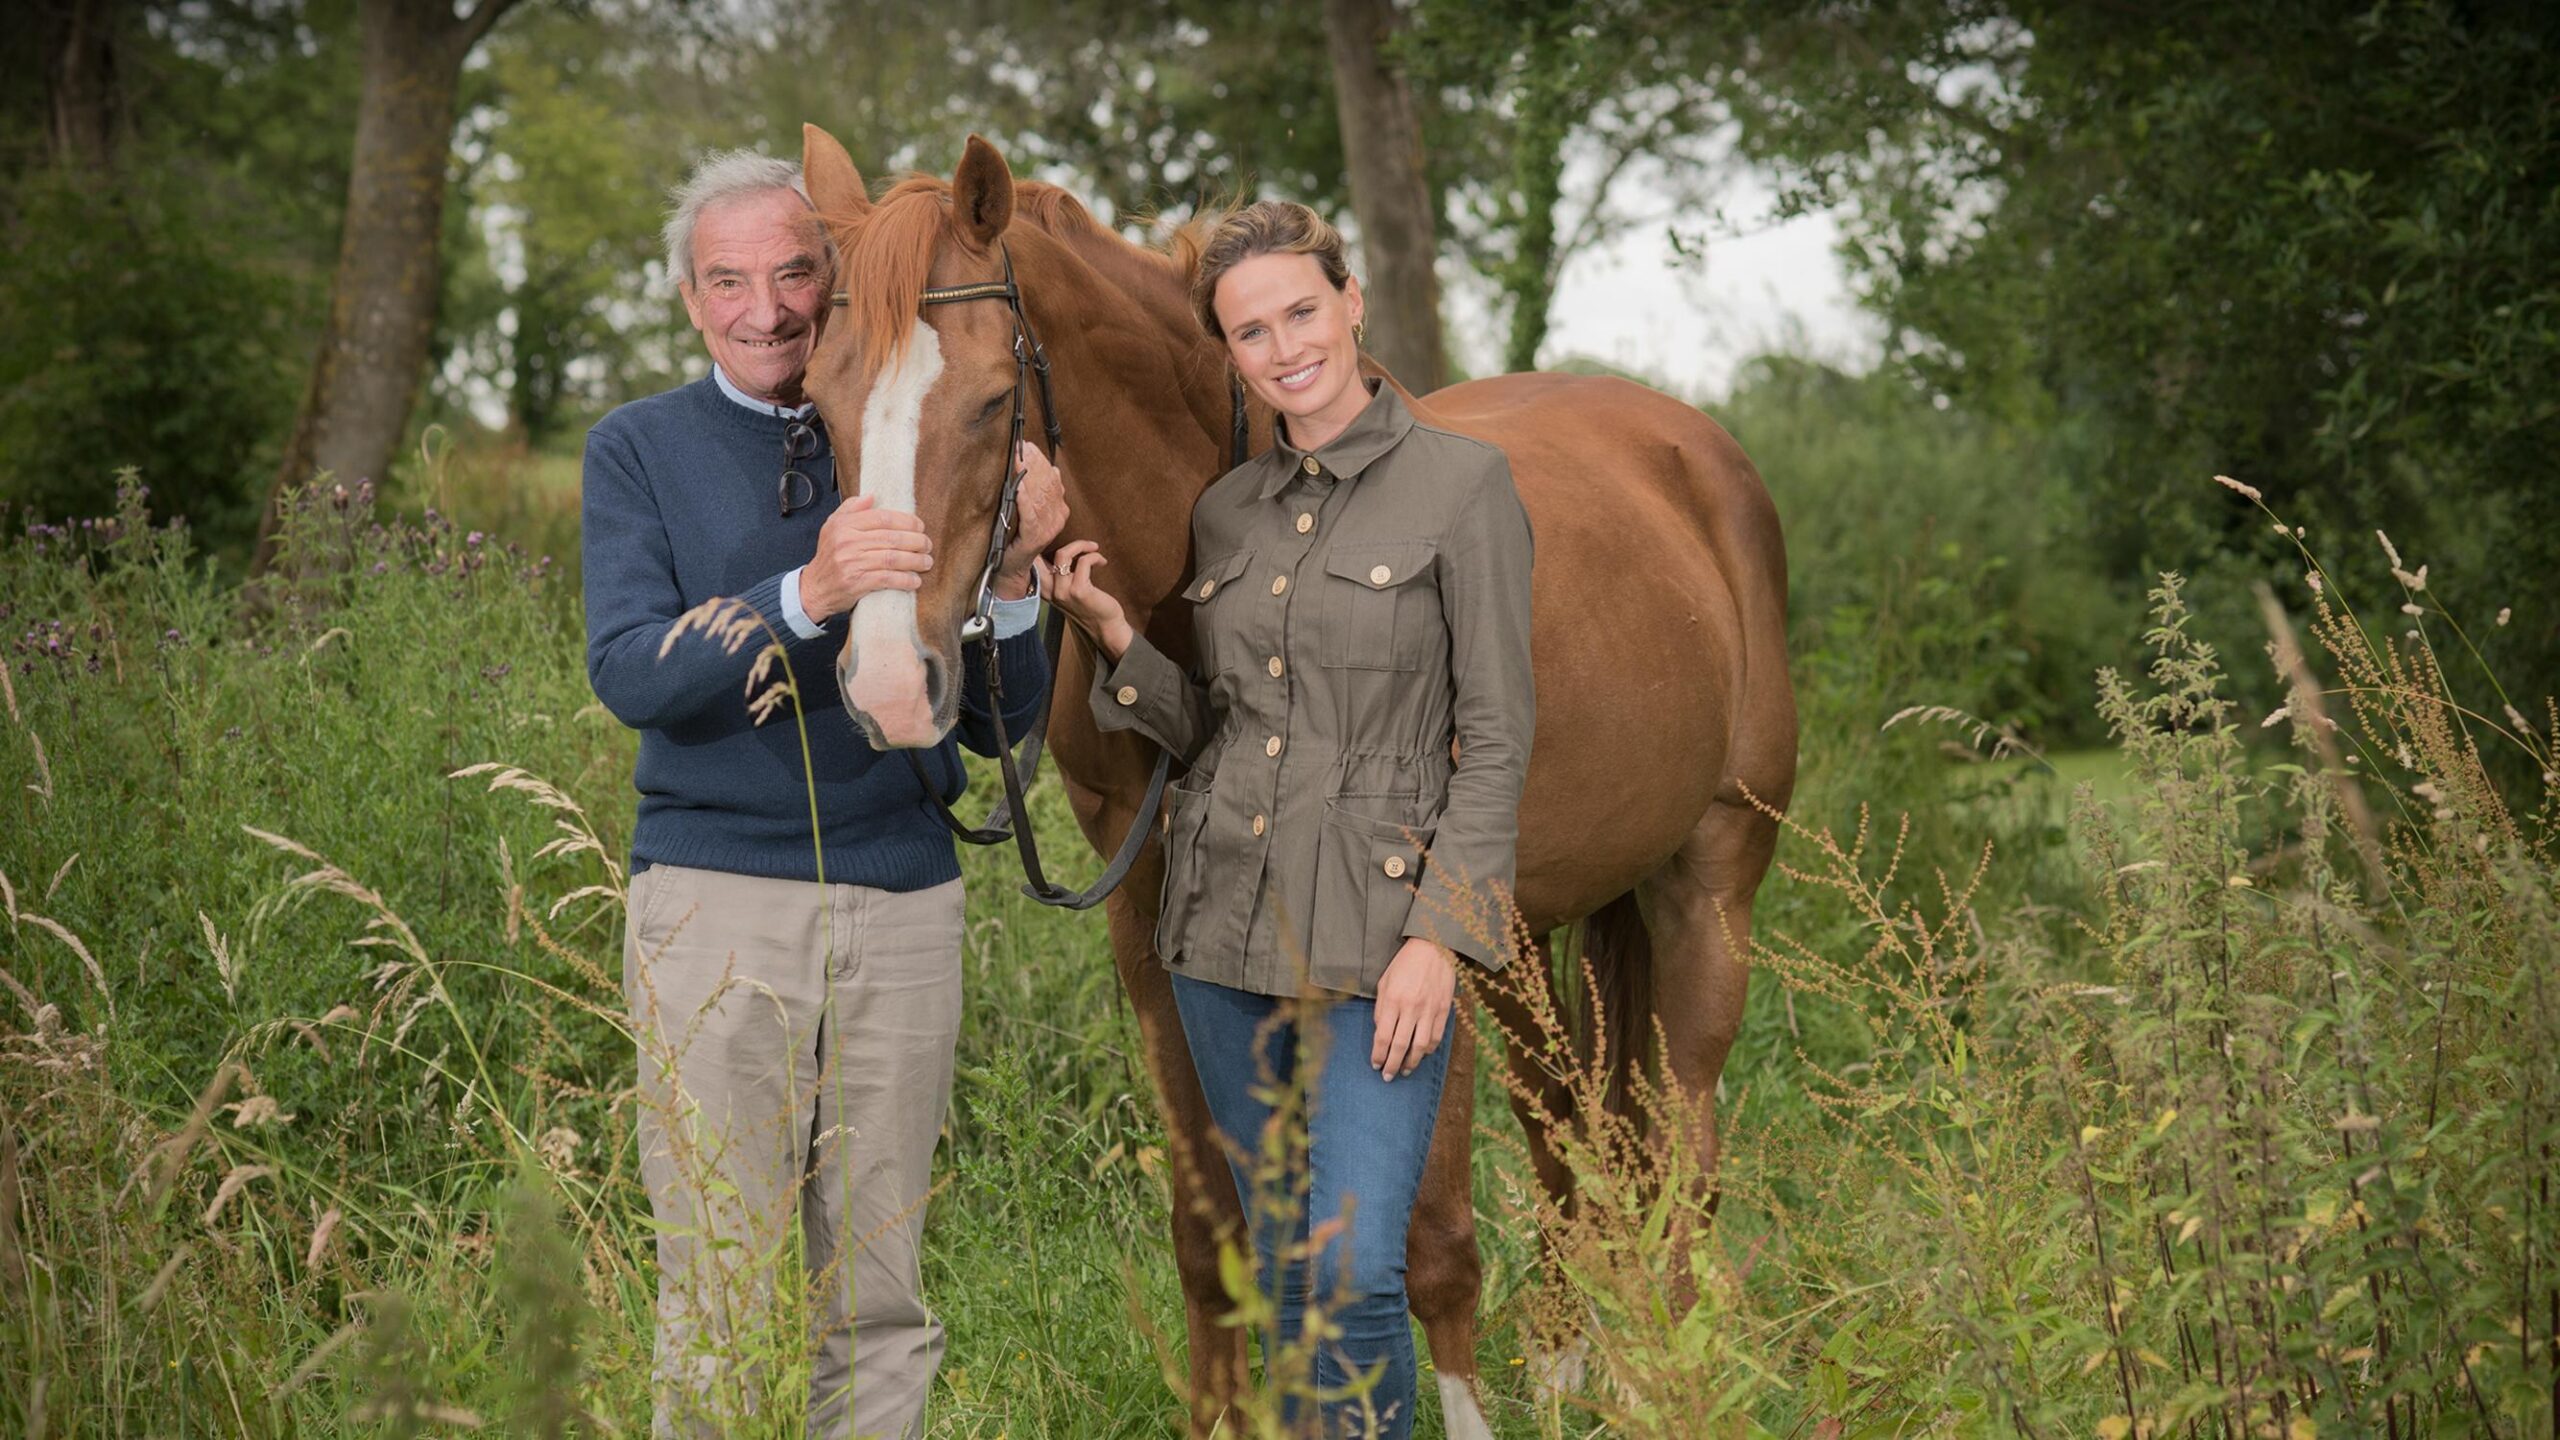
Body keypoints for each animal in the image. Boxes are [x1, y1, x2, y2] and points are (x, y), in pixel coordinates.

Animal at [803, 126, 1802, 1434]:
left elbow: (1428, 1245)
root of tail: (1692, 451)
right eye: (816, 406)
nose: (885, 686)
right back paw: (1575, 1366)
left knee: (1682, 1149)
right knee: (1572, 1124)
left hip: (1702, 885)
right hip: (1532, 933)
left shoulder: (1418, 945)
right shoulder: (1155, 929)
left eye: (982, 403)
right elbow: (1216, 1232)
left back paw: (1670, 1379)